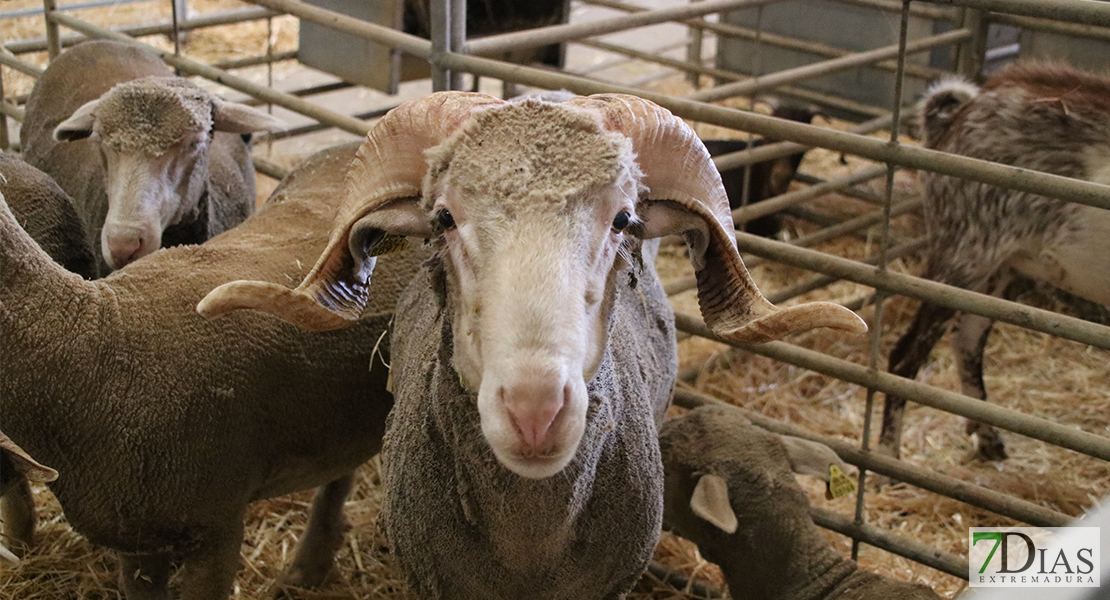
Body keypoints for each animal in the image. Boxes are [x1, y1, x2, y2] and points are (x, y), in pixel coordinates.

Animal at [879, 64, 1110, 459]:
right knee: (906, 354)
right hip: (964, 254)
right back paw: (885, 458)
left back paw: (988, 439)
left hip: (1000, 266)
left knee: (967, 341)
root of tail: (963, 109)